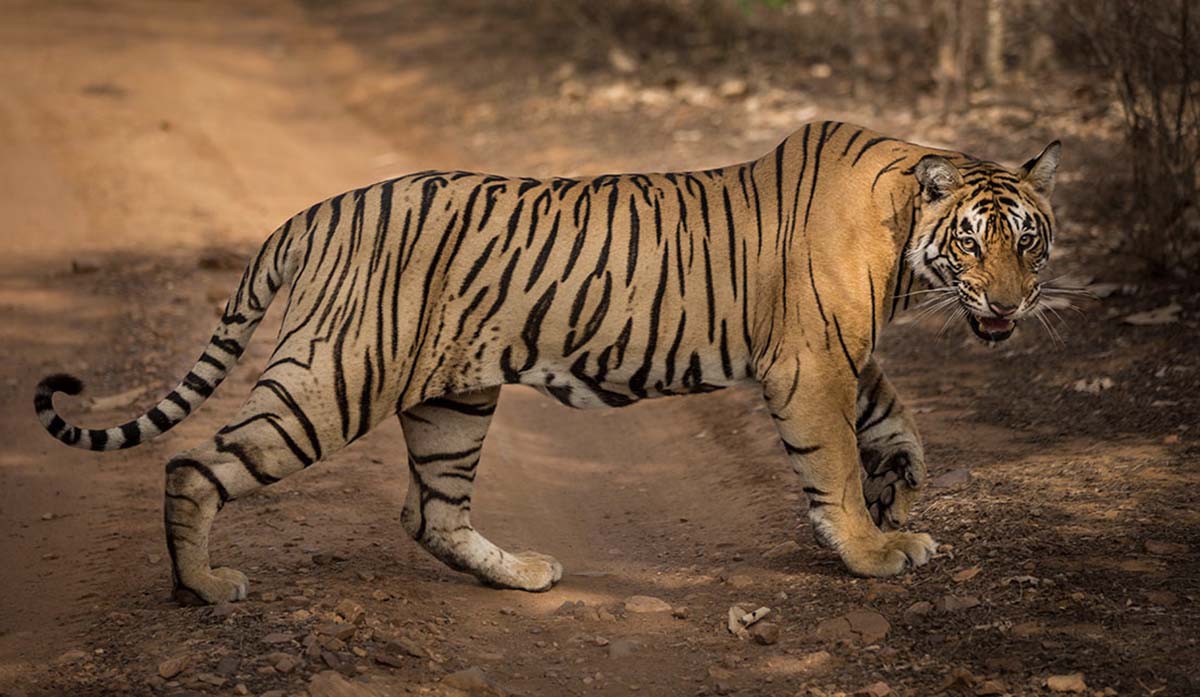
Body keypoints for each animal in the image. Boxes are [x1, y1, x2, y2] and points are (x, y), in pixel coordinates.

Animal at [34, 121, 1062, 605]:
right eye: (972, 243)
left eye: (1030, 241)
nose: (1012, 305)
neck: (905, 239)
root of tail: (314, 211)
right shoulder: (809, 363)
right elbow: (836, 464)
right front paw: (872, 548)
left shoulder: (840, 350)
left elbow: (895, 418)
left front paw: (905, 487)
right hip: (333, 379)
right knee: (194, 464)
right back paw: (201, 587)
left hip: (453, 396)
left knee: (430, 512)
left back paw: (522, 574)